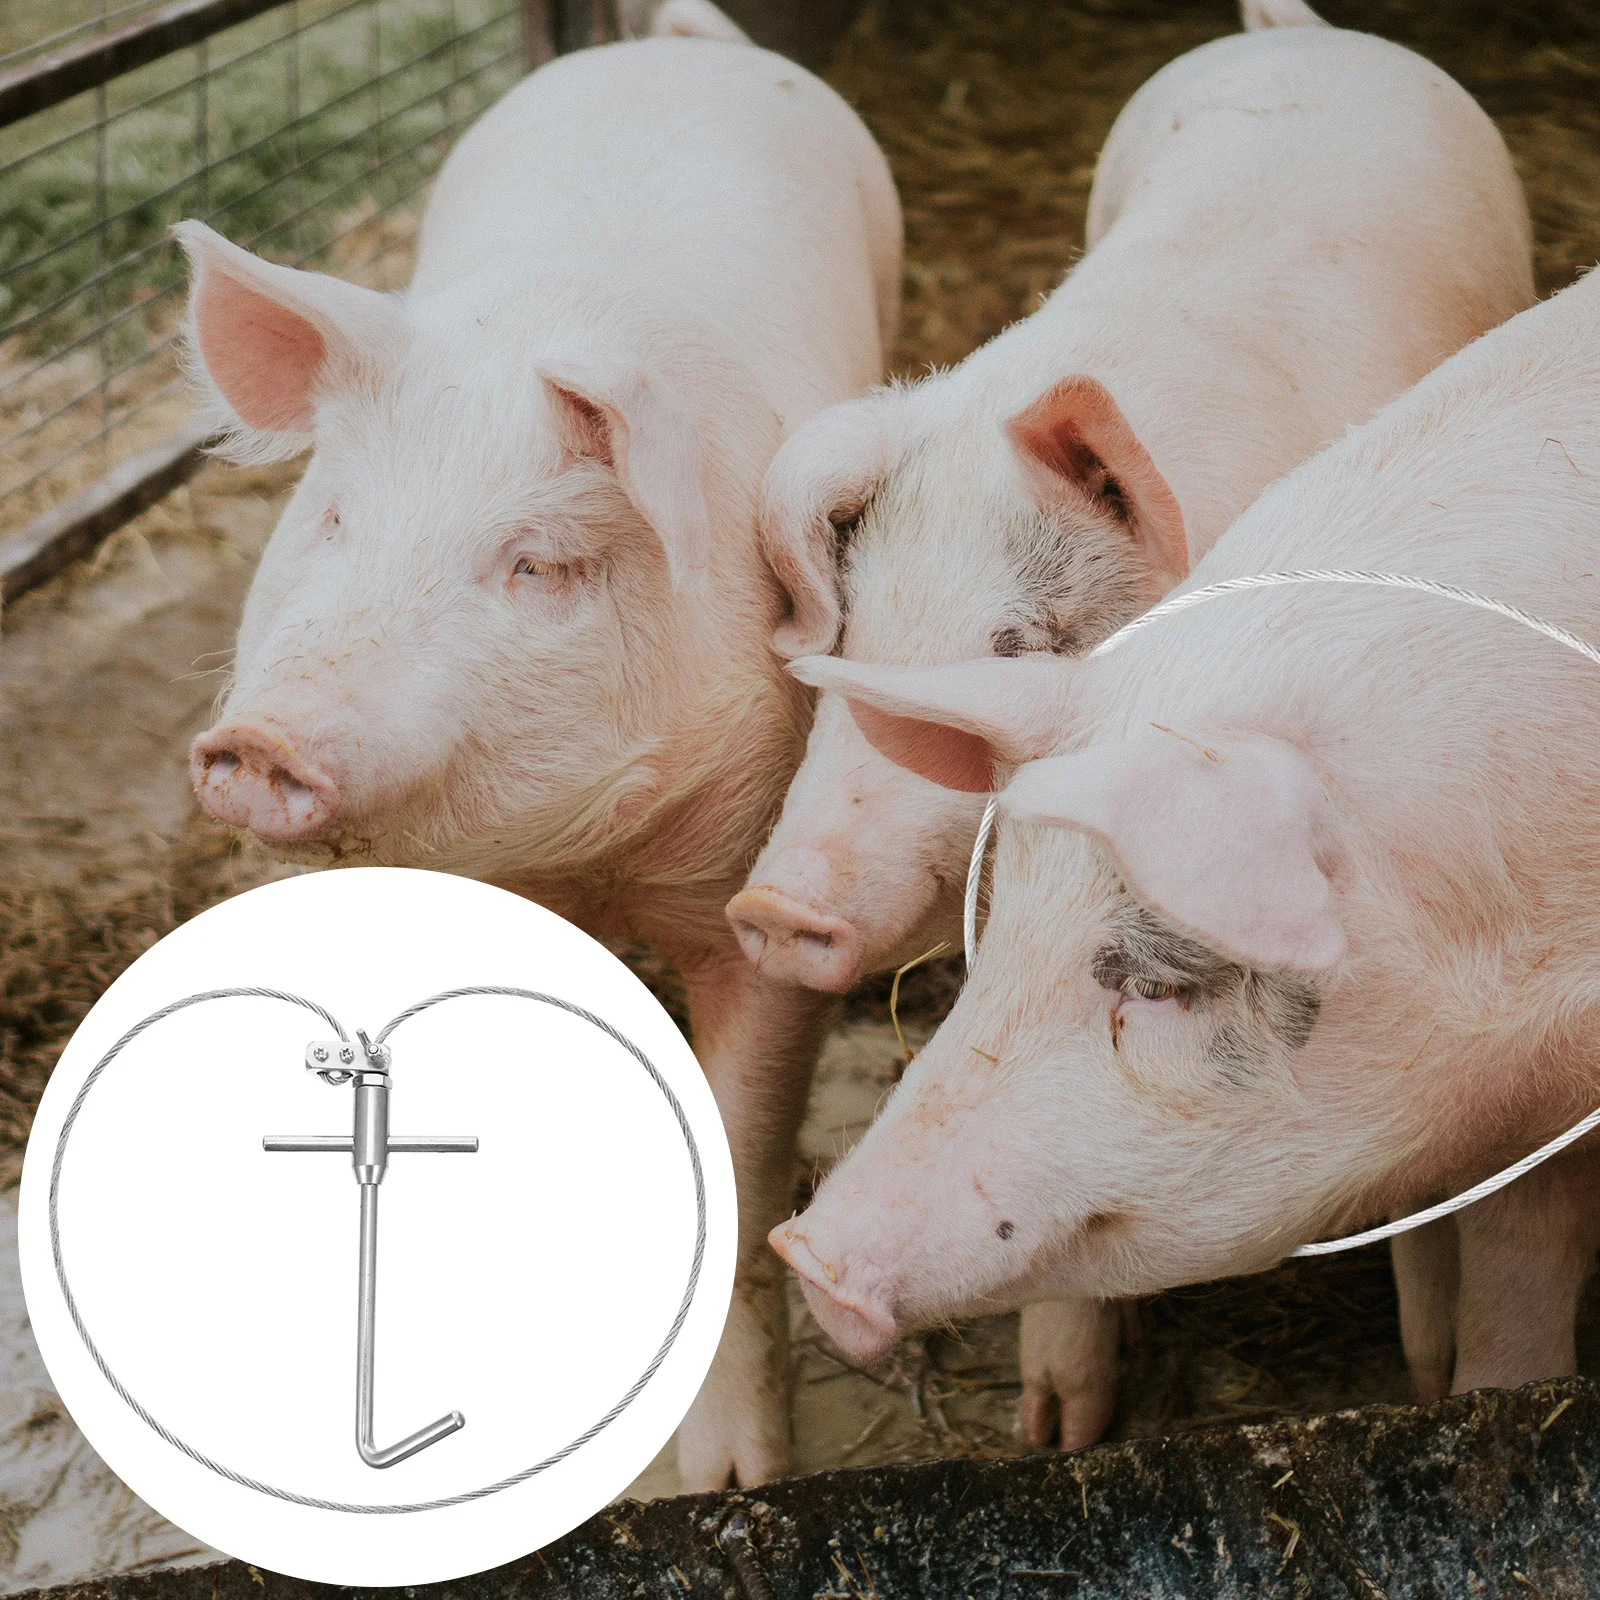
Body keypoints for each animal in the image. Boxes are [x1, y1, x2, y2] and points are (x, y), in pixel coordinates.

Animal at [175, 4, 901, 1490]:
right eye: (332, 518)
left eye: (542, 564)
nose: (263, 737)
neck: (580, 866)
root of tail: (671, 41)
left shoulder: (757, 880)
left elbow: (743, 1157)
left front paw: (732, 1478)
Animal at [730, 0, 1534, 1449]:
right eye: (853, 632)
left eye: (1021, 641)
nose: (769, 911)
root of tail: (1297, 31)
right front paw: (1056, 1432)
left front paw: (1433, 1374)